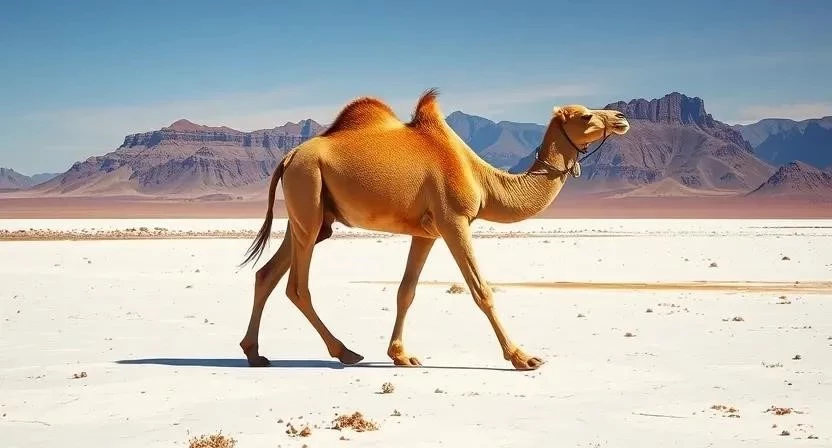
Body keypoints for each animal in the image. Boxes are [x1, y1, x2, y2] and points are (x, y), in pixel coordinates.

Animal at [238, 88, 629, 370]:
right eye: (585, 115)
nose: (622, 118)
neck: (484, 181)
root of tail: (288, 157)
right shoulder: (454, 220)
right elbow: (481, 291)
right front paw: (522, 357)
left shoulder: (426, 232)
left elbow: (406, 292)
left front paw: (401, 355)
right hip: (308, 190)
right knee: (297, 286)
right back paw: (344, 352)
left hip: (312, 216)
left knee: (266, 273)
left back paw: (254, 353)